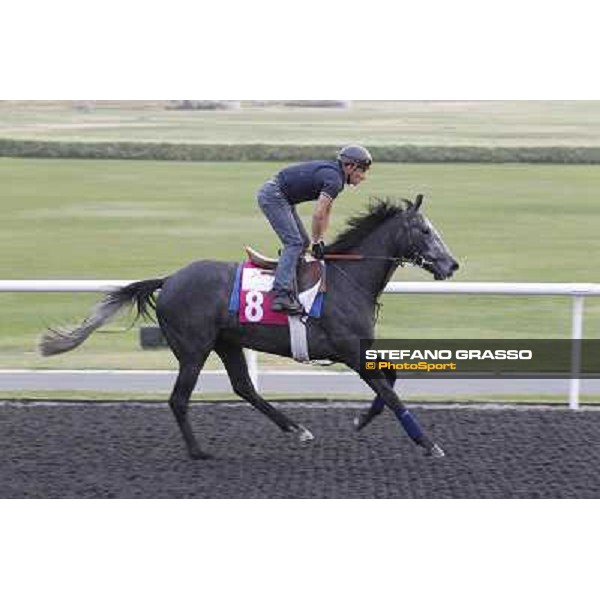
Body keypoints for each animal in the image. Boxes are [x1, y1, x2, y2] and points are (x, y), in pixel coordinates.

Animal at [38, 195, 460, 458]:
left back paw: (295, 428)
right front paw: (429, 444)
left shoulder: (360, 348)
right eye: (425, 230)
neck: (348, 279)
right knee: (179, 399)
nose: (451, 264)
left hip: (227, 342)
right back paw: (199, 451)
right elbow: (391, 392)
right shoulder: (348, 350)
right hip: (193, 349)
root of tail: (169, 279)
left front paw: (361, 419)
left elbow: (392, 380)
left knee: (244, 387)